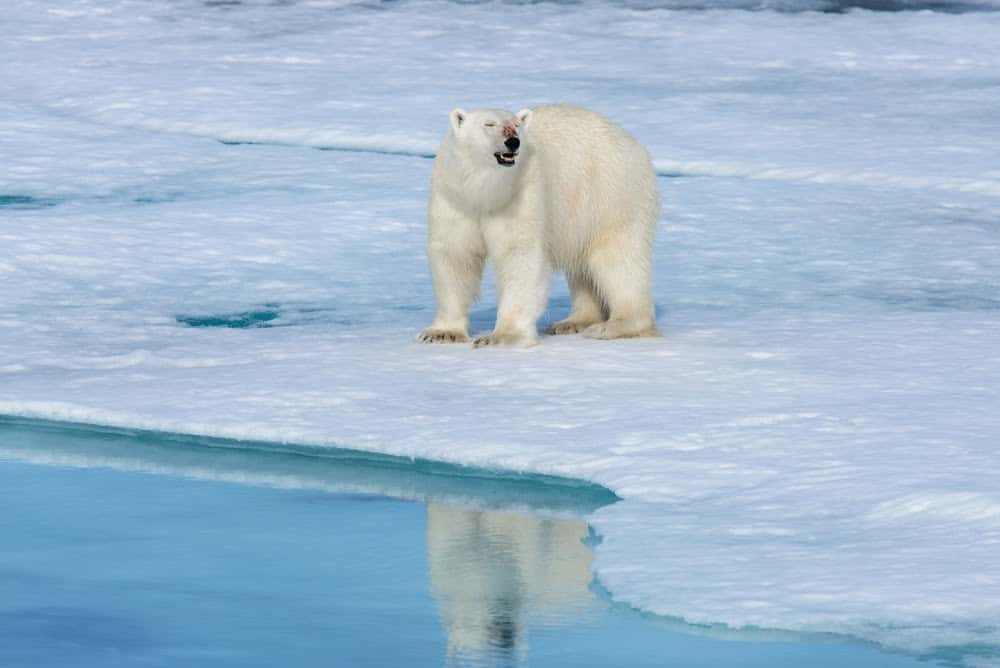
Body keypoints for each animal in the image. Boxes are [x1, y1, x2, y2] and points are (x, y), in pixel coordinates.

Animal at [418, 104, 660, 348]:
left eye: (516, 125)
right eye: (489, 124)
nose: (513, 142)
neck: (487, 192)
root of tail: (635, 145)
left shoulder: (522, 195)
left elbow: (519, 255)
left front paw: (500, 337)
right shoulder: (454, 199)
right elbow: (455, 256)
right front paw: (442, 333)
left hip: (611, 197)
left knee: (618, 262)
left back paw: (613, 326)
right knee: (583, 268)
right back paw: (574, 322)